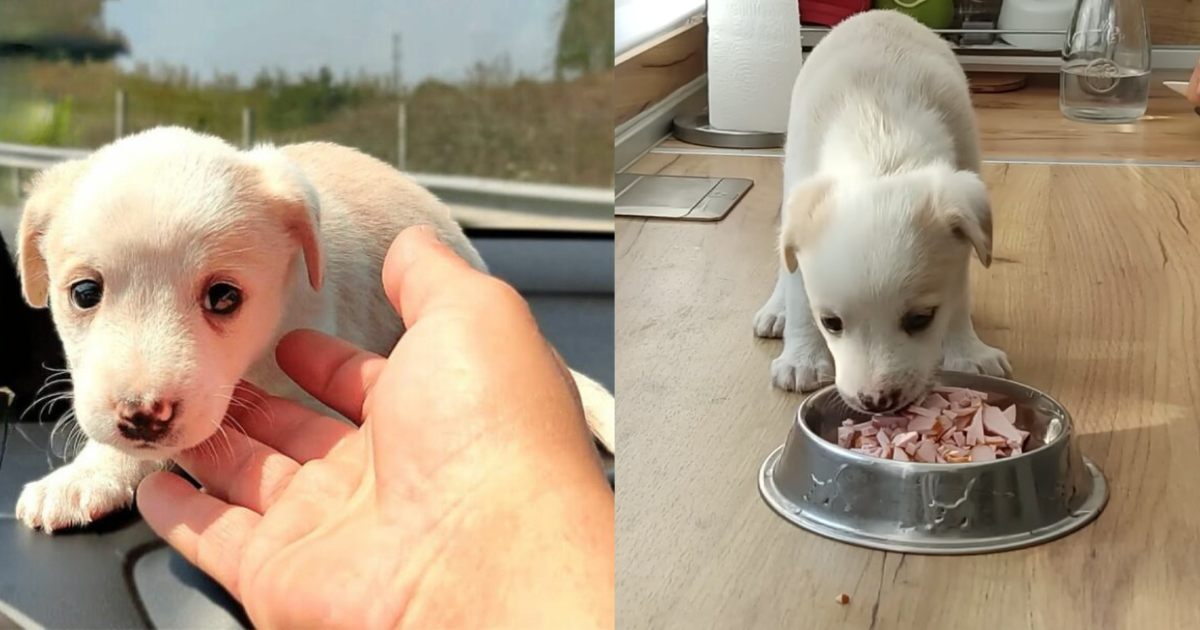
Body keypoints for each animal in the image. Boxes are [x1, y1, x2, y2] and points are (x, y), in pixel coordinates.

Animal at [753, 11, 1008, 412]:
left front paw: (968, 351)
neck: (881, 144)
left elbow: (958, 295)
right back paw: (775, 311)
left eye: (921, 319)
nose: (875, 402)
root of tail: (880, 13)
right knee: (786, 265)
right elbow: (798, 292)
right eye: (831, 322)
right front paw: (802, 359)